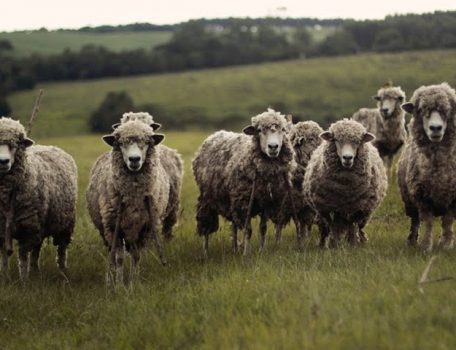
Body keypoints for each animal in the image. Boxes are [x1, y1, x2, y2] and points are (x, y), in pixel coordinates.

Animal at [0, 117, 77, 278]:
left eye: (15, 144)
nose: (3, 162)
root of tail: (51, 146)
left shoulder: (27, 229)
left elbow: (23, 257)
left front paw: (24, 280)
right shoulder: (1, 228)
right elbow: (3, 255)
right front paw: (4, 276)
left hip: (65, 223)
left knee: (62, 248)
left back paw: (62, 270)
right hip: (41, 223)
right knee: (37, 248)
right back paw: (35, 270)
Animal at [86, 119, 183, 284]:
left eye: (147, 142)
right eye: (120, 143)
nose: (134, 159)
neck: (134, 197)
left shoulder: (145, 227)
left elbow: (136, 257)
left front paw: (134, 283)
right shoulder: (114, 227)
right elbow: (118, 258)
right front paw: (119, 284)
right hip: (106, 229)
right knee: (111, 254)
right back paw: (110, 278)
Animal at [191, 108, 292, 256]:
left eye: (283, 130)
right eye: (259, 130)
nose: (273, 147)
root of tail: (215, 134)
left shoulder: (267, 202)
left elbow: (263, 228)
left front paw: (261, 251)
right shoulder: (244, 202)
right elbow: (248, 230)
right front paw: (246, 254)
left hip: (231, 199)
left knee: (233, 225)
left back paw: (234, 248)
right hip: (207, 197)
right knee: (205, 224)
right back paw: (205, 252)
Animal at [304, 117, 386, 246]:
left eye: (358, 141)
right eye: (336, 139)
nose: (347, 158)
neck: (345, 189)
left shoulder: (358, 207)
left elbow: (352, 226)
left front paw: (352, 244)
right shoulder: (331, 207)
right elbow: (334, 227)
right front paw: (334, 244)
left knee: (356, 227)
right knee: (326, 227)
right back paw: (323, 243)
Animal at [398, 82, 456, 252]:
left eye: (446, 110)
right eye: (422, 110)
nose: (435, 128)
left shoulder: (452, 198)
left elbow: (448, 222)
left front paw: (447, 245)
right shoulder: (422, 196)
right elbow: (428, 223)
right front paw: (426, 246)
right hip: (409, 202)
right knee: (415, 222)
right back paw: (412, 241)